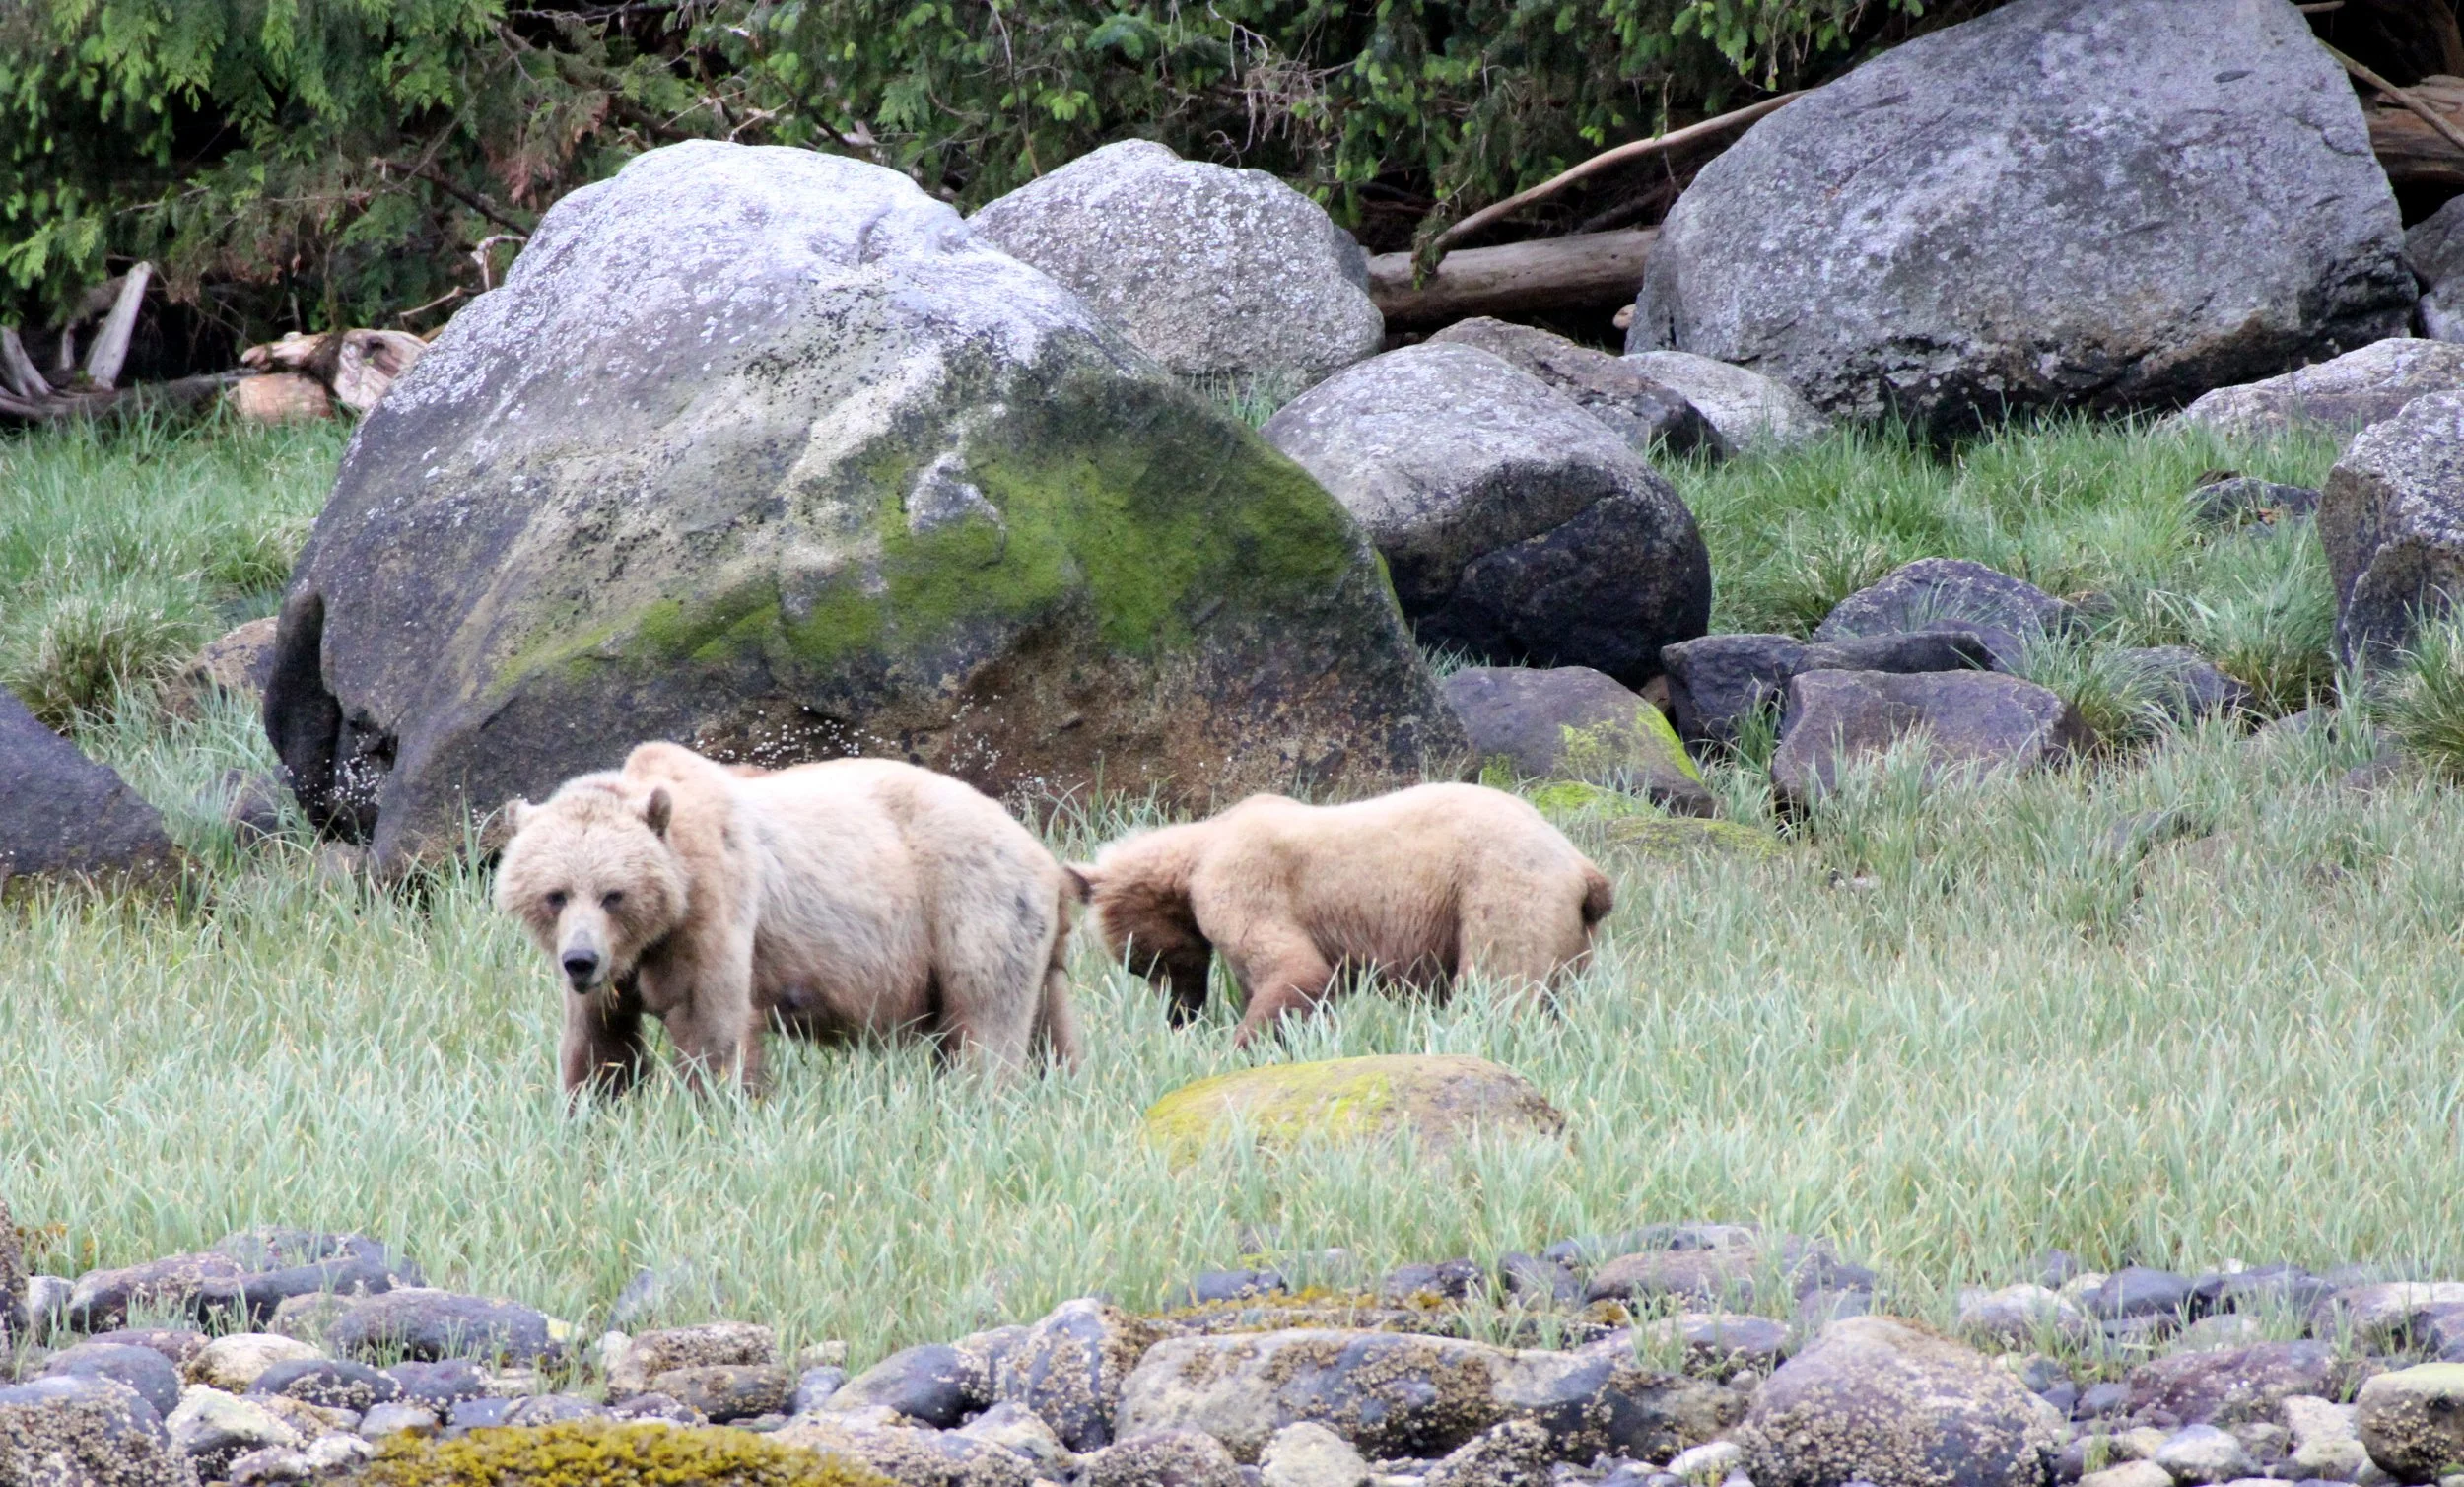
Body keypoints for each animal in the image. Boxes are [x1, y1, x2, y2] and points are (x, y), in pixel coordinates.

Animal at [495, 741, 1080, 1099]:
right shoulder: (616, 974)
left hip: (969, 904)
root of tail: (1043, 853)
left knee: (982, 1026)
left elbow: (710, 1029)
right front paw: (592, 1111)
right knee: (1051, 1030)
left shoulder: (715, 910)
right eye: (555, 894)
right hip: (1029, 939)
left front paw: (713, 1111)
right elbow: (599, 1046)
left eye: (614, 894)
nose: (580, 960)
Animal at [1075, 782, 1612, 1045]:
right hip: (1571, 936)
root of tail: (1583, 867)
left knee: (1500, 983)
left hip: (1501, 891)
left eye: (1146, 964)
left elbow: (1294, 970)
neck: (1197, 853)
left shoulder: (1245, 884)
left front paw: (1233, 1046)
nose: (1178, 1015)